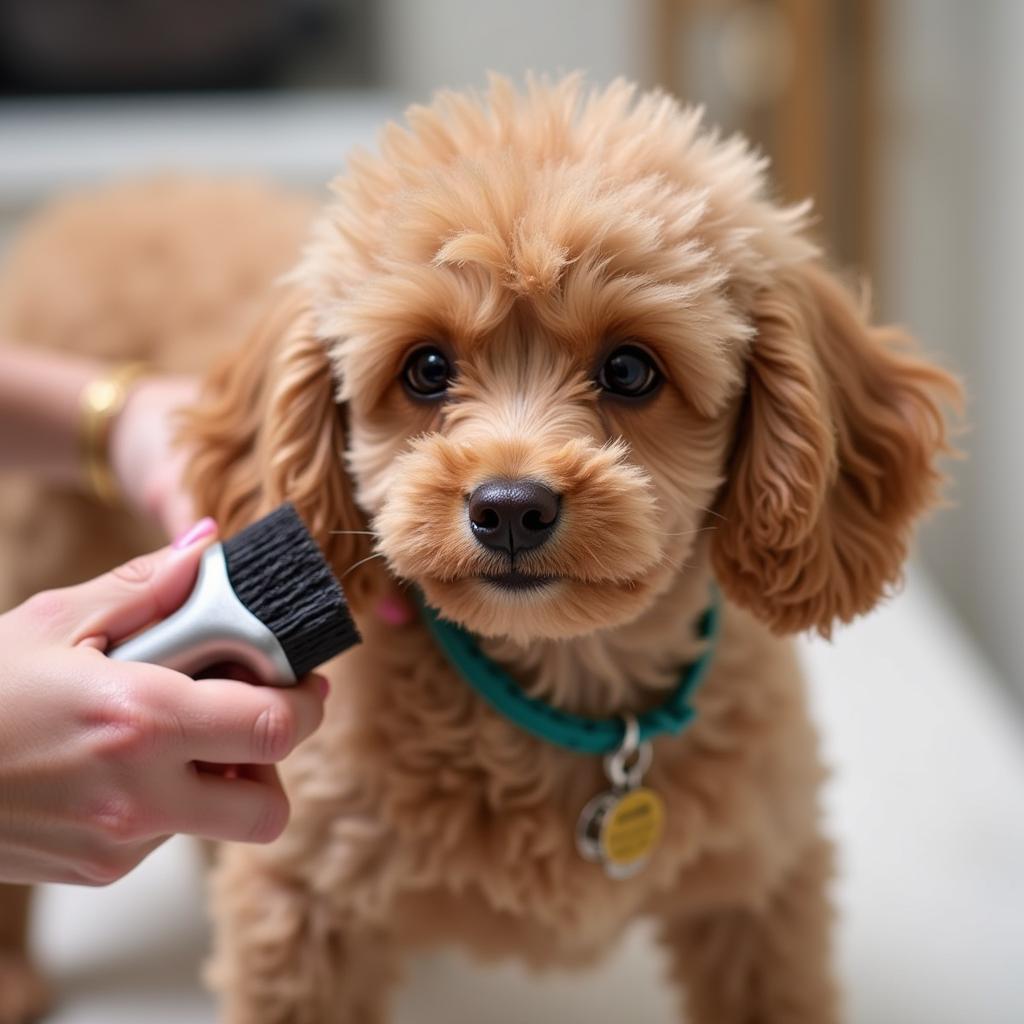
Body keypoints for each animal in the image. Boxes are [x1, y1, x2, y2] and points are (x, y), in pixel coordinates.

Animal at [0, 75, 958, 1019]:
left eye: (630, 370)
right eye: (426, 368)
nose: (509, 508)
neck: (568, 691)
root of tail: (102, 198)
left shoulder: (762, 892)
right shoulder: (302, 908)